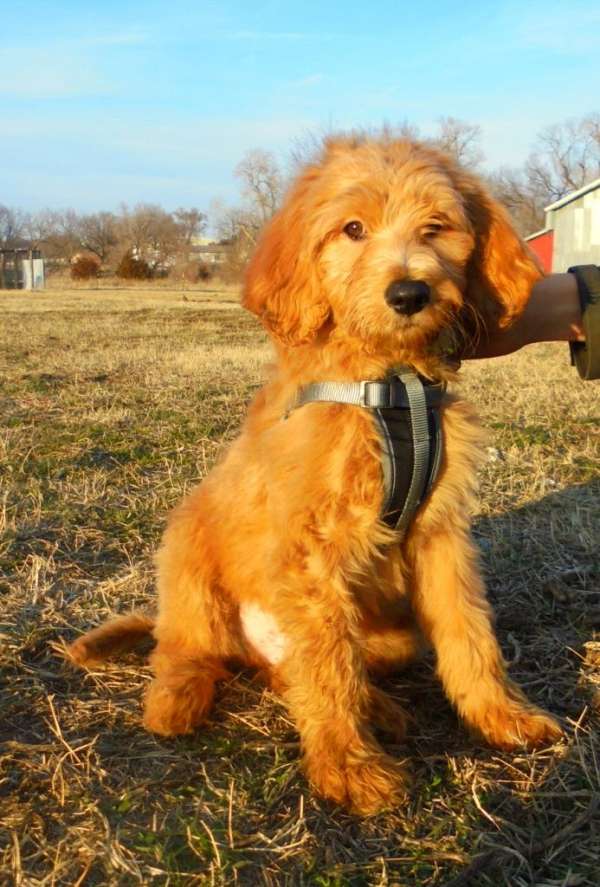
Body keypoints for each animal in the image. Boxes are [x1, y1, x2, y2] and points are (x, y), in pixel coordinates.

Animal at [70, 137, 564, 820]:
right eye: (352, 229)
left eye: (436, 227)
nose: (408, 293)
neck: (387, 386)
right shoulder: (311, 553)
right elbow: (329, 670)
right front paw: (349, 770)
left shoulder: (441, 536)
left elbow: (469, 634)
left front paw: (502, 717)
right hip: (189, 553)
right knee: (187, 646)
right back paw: (179, 696)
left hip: (389, 631)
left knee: (297, 672)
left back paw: (380, 710)